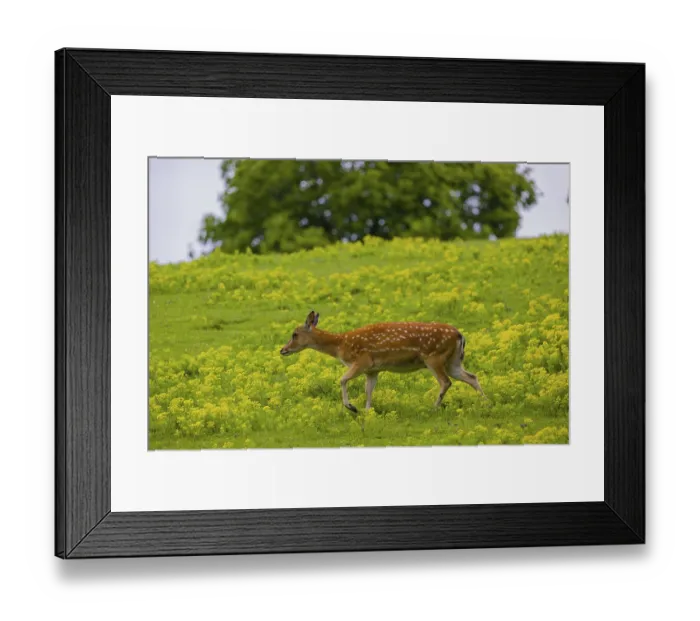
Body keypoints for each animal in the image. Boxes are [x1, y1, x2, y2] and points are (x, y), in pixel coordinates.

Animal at [280, 310, 485, 413]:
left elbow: (343, 379)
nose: (283, 350)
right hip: (453, 361)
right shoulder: (373, 369)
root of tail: (460, 335)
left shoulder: (361, 361)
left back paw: (433, 408)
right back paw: (486, 402)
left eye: (294, 334)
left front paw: (352, 407)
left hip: (434, 357)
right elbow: (368, 390)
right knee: (471, 376)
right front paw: (367, 411)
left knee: (445, 382)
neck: (341, 345)